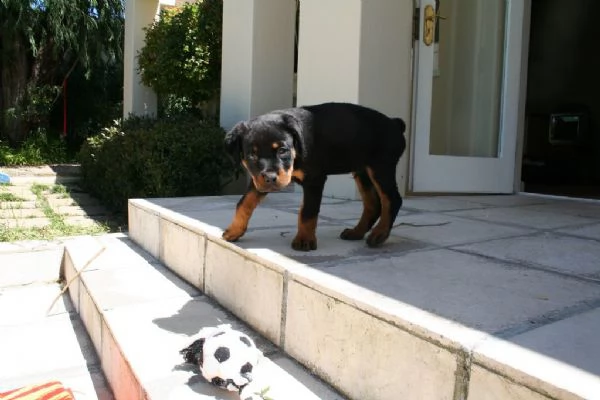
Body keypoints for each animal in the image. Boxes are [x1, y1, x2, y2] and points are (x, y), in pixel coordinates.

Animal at [223, 101, 406, 252]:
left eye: (282, 150)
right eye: (252, 155)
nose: (270, 178)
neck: (296, 151)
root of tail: (394, 123)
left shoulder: (314, 180)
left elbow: (308, 211)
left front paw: (304, 240)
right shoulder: (259, 180)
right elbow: (244, 202)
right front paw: (234, 230)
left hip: (381, 167)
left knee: (392, 199)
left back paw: (380, 234)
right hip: (362, 172)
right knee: (372, 204)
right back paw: (356, 232)